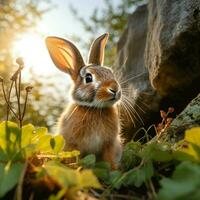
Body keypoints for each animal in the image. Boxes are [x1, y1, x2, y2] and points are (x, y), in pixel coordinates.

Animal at [45, 32, 122, 169]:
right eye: (88, 78)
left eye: (111, 72)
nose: (115, 89)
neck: (94, 109)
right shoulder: (72, 144)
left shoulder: (109, 144)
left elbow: (109, 160)